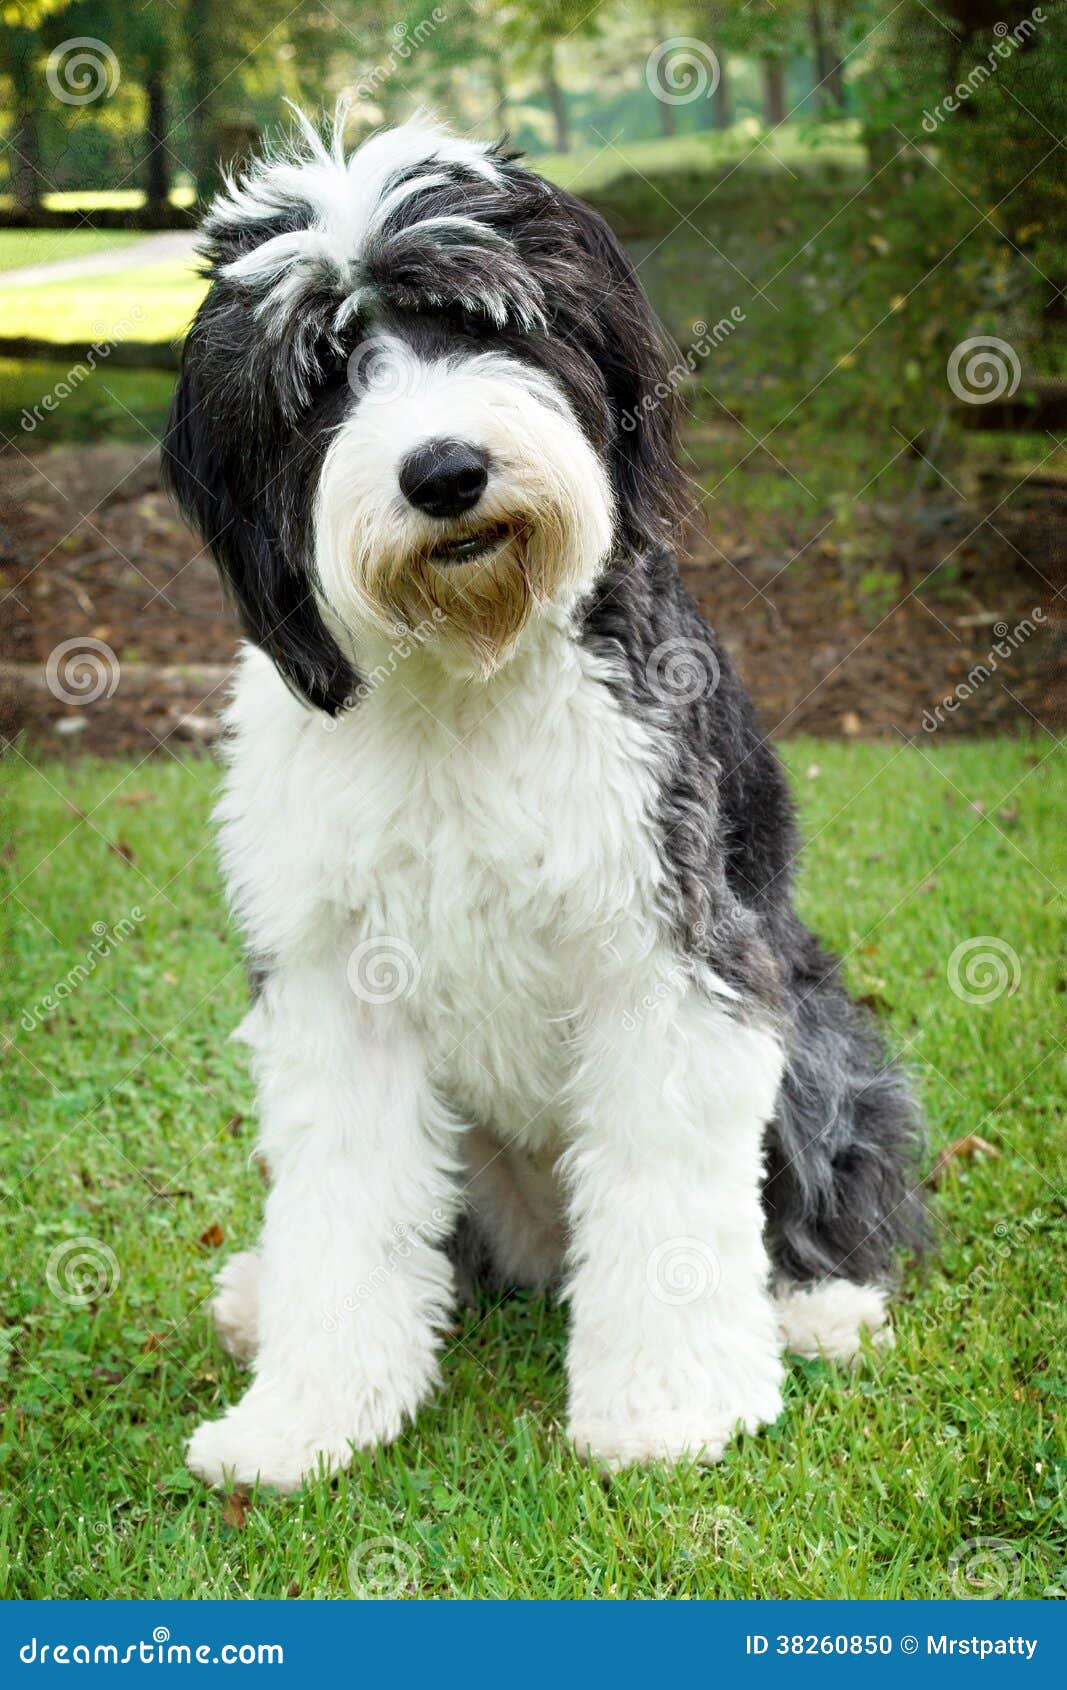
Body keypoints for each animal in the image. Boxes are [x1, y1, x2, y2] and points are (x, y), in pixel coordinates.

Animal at [160, 112, 926, 1487]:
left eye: (478, 321)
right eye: (324, 371)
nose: (445, 471)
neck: (466, 668)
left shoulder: (675, 953)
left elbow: (672, 1191)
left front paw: (671, 1404)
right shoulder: (332, 985)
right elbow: (341, 1204)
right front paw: (307, 1414)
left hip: (812, 1032)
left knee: (831, 1169)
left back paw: (816, 1303)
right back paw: (261, 1295)